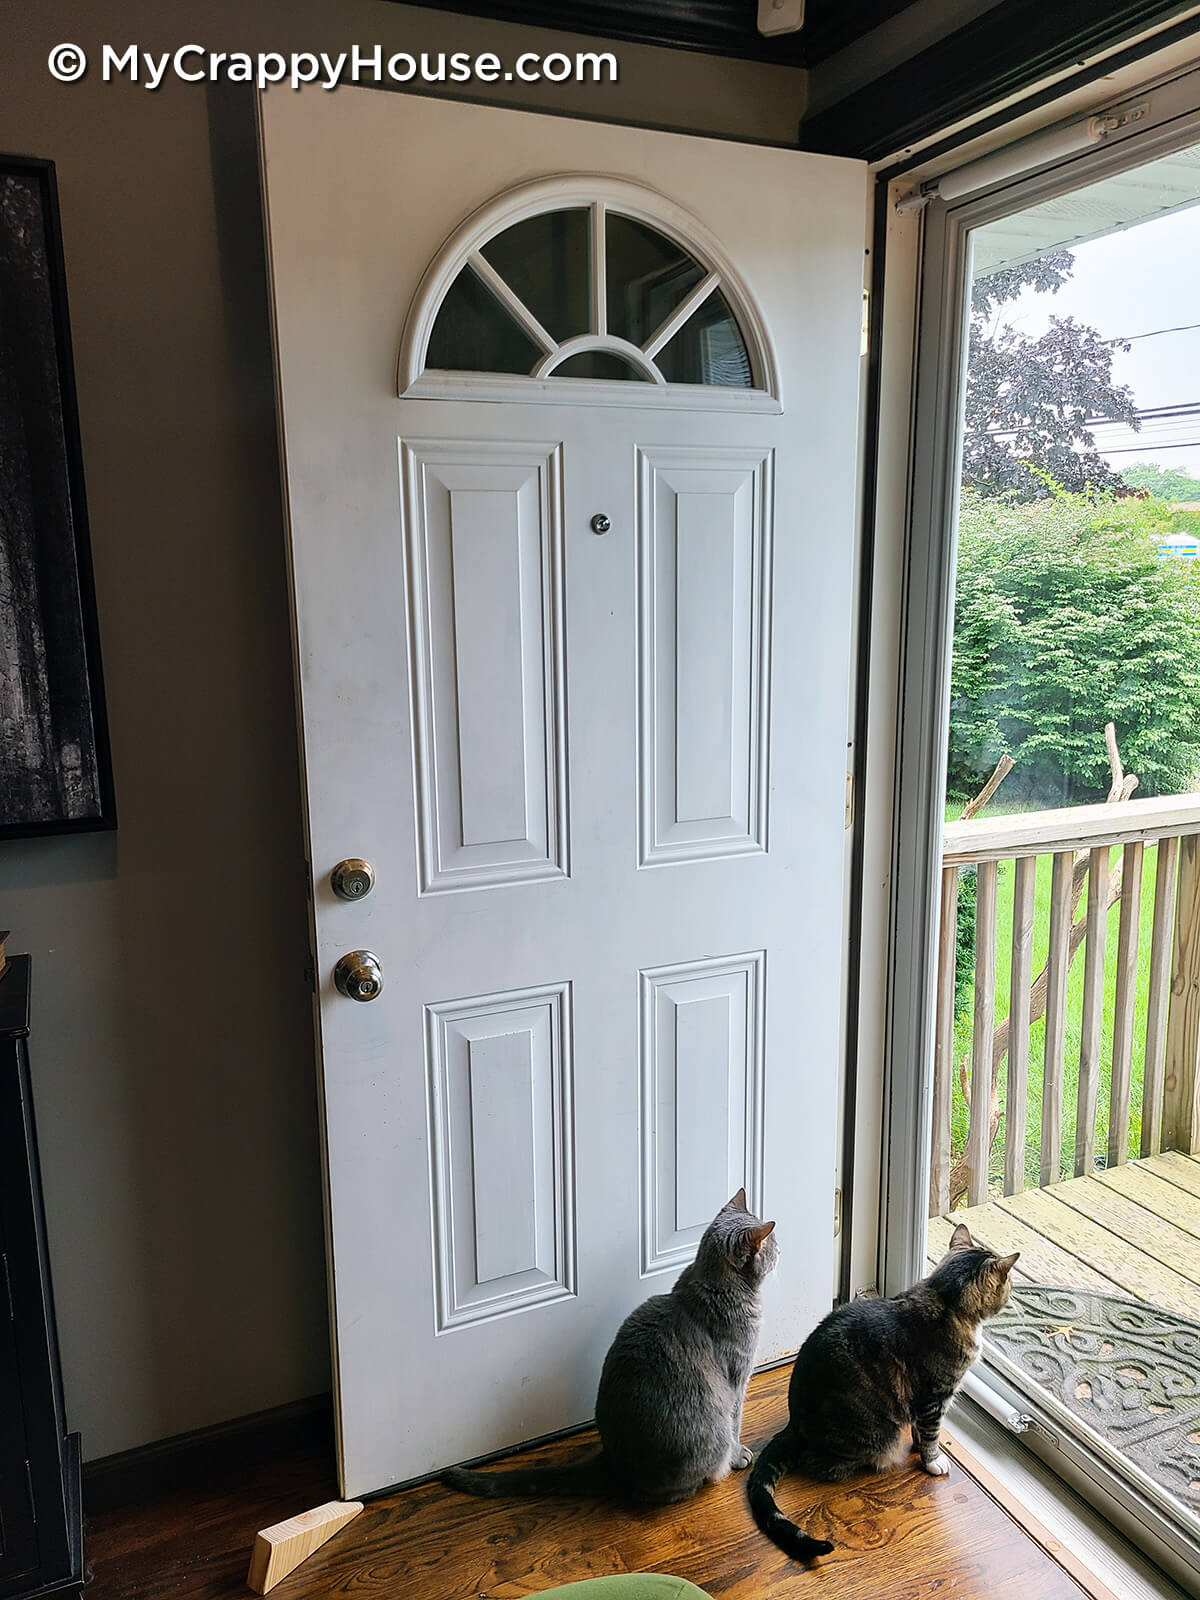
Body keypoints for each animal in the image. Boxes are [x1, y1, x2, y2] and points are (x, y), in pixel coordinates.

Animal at [441, 1190, 780, 1510]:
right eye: (773, 1244)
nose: (780, 1249)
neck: (714, 1285)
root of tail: (613, 1463)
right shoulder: (737, 1381)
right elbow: (736, 1423)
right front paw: (739, 1455)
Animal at [755, 1222, 1017, 1561]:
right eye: (1008, 1281)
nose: (1013, 1290)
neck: (945, 1299)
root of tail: (794, 1423)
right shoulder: (935, 1396)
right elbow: (931, 1434)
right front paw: (932, 1461)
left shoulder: (923, 1403)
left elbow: (922, 1431)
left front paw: (920, 1447)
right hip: (878, 1436)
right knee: (824, 1463)